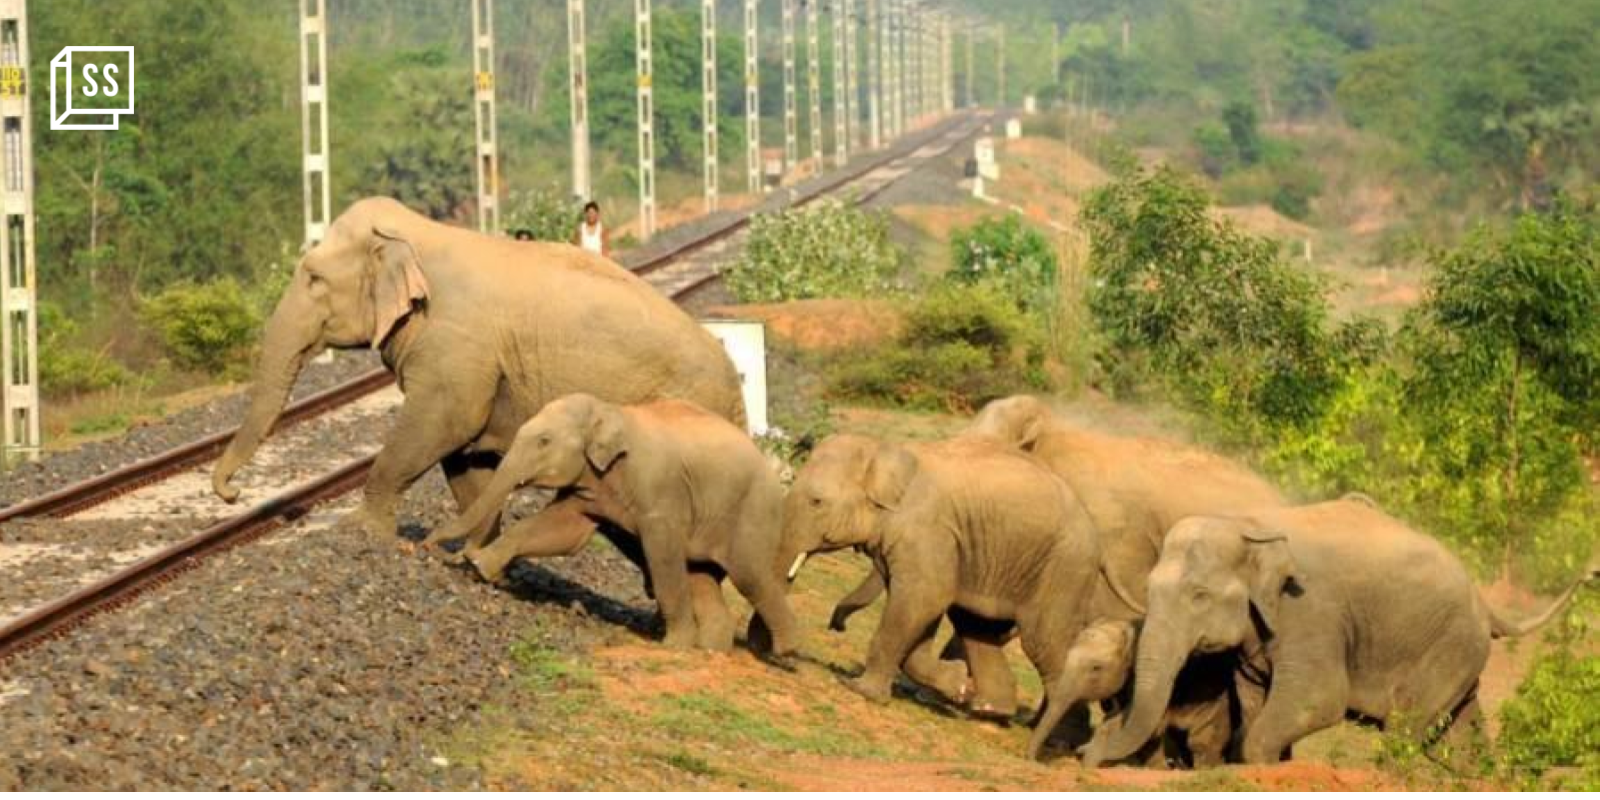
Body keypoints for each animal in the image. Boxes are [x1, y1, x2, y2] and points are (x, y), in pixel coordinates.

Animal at [210, 197, 745, 547]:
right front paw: (472, 549)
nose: (232, 495)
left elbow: (444, 422)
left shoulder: (455, 344)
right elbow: (465, 451)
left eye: (314, 278)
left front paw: (362, 533)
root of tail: (735, 381)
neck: (418, 234)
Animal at [425, 394, 799, 656]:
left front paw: (673, 646)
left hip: (754, 513)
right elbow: (562, 531)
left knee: (750, 576)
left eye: (544, 441)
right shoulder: (589, 486)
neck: (609, 410)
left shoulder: (660, 492)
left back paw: (782, 651)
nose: (428, 544)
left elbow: (662, 553)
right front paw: (480, 567)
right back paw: (711, 650)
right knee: (702, 576)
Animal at [778, 432, 1114, 722]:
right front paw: (958, 685)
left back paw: (1058, 738)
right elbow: (923, 609)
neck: (883, 448)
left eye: (816, 501)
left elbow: (925, 596)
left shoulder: (926, 529)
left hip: (1064, 569)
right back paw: (989, 710)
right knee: (977, 625)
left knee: (1043, 641)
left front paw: (859, 690)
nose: (837, 626)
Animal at [1084, 498, 1597, 766]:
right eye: (1149, 588)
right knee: (1461, 734)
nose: (1093, 745)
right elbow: (1254, 701)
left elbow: (1318, 699)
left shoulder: (1311, 611)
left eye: (1198, 596)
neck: (1247, 524)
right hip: (1462, 656)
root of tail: (1485, 603)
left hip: (1449, 648)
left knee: (1407, 728)